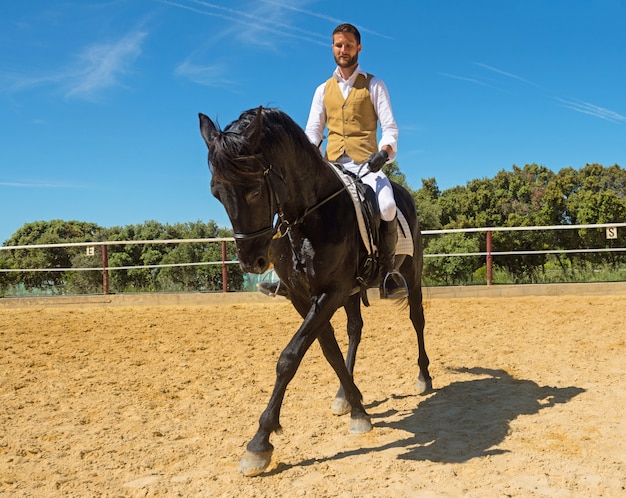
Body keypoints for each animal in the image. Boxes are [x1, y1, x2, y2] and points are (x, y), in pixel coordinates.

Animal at [199, 107, 428, 476]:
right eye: (216, 193)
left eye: (253, 191)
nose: (251, 261)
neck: (308, 218)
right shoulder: (302, 296)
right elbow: (328, 350)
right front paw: (357, 408)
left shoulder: (329, 293)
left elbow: (289, 358)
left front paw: (259, 443)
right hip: (352, 293)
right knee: (355, 329)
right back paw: (343, 395)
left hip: (411, 275)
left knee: (417, 320)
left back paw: (424, 377)